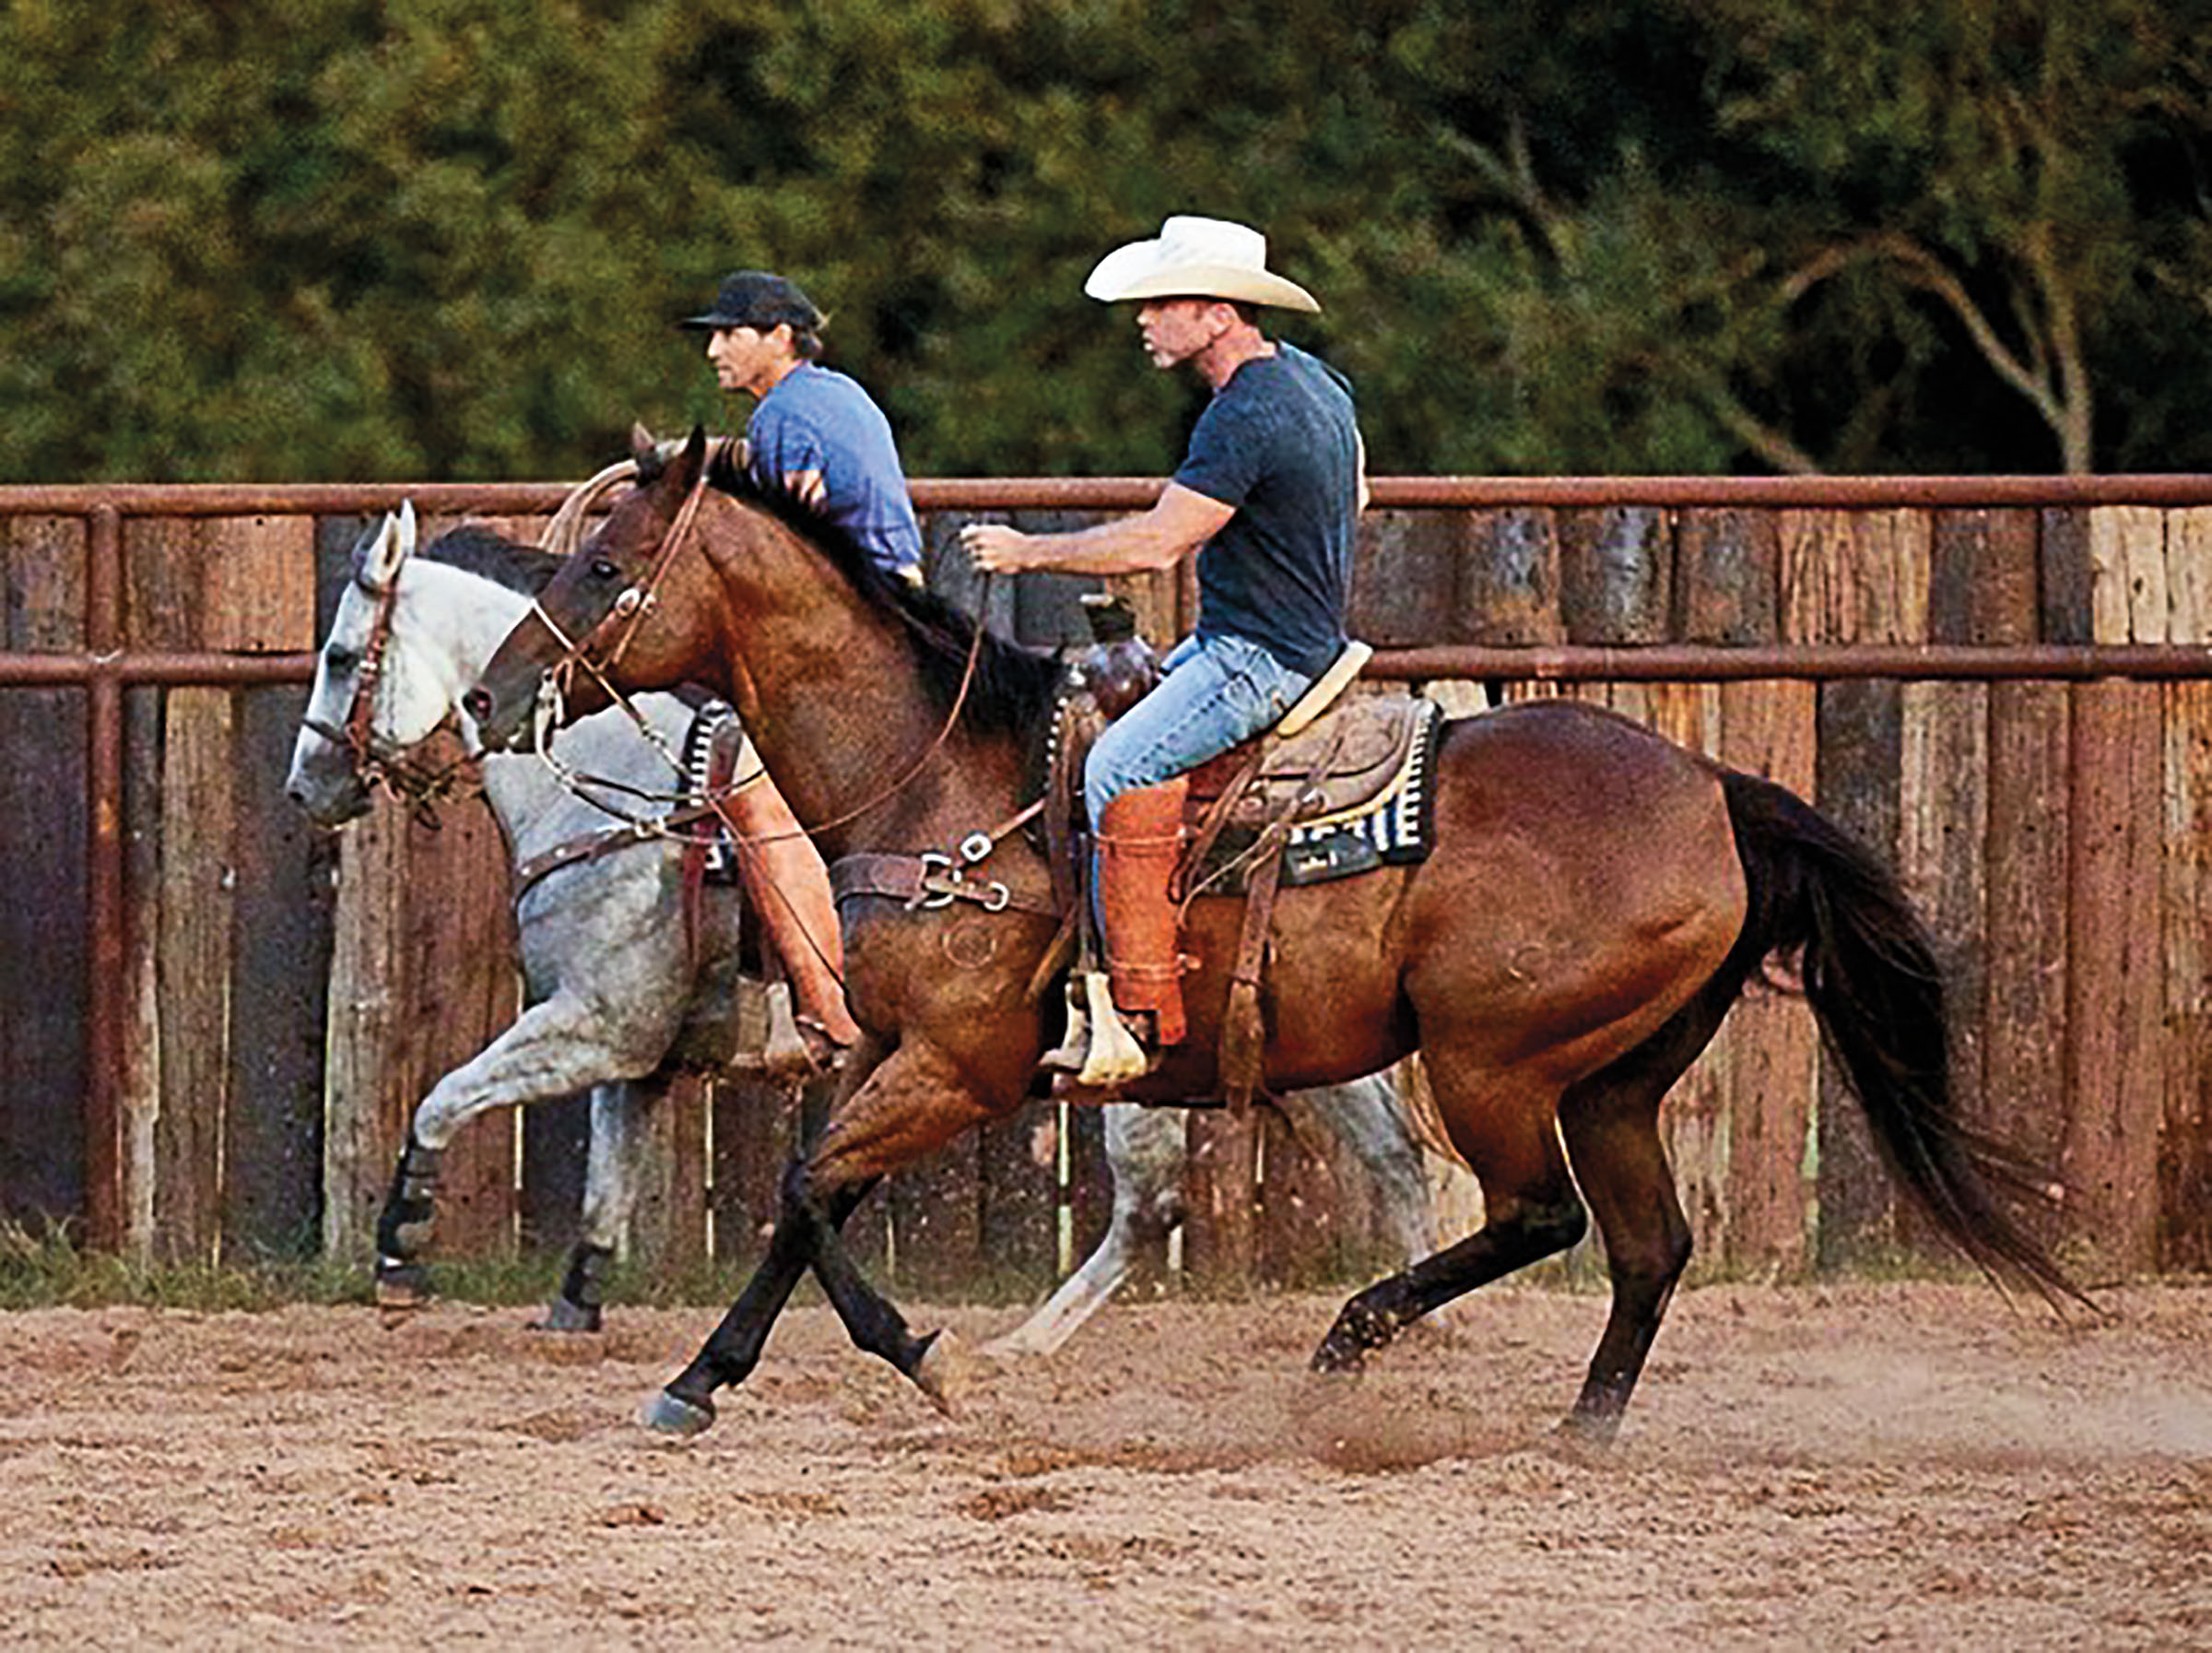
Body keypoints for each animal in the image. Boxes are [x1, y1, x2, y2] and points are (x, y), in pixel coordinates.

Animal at [285, 513, 1441, 1345]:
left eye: (341, 655)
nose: (307, 786)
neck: (616, 787)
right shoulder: (642, 1051)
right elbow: (609, 1180)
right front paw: (575, 1305)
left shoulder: (597, 1022)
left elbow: (443, 1094)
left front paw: (400, 1247)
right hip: (1293, 1030)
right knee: (1389, 1160)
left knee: (1155, 1202)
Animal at [462, 433, 2070, 1442]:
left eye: (604, 568)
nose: (489, 698)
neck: (943, 777)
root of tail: (1716, 791)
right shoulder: (892, 1054)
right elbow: (812, 1201)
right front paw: (710, 1379)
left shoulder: (961, 1066)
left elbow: (804, 1192)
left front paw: (922, 1363)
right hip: (1615, 1076)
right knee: (1646, 1245)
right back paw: (1579, 1427)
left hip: (1496, 1063)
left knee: (1537, 1219)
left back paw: (1347, 1349)